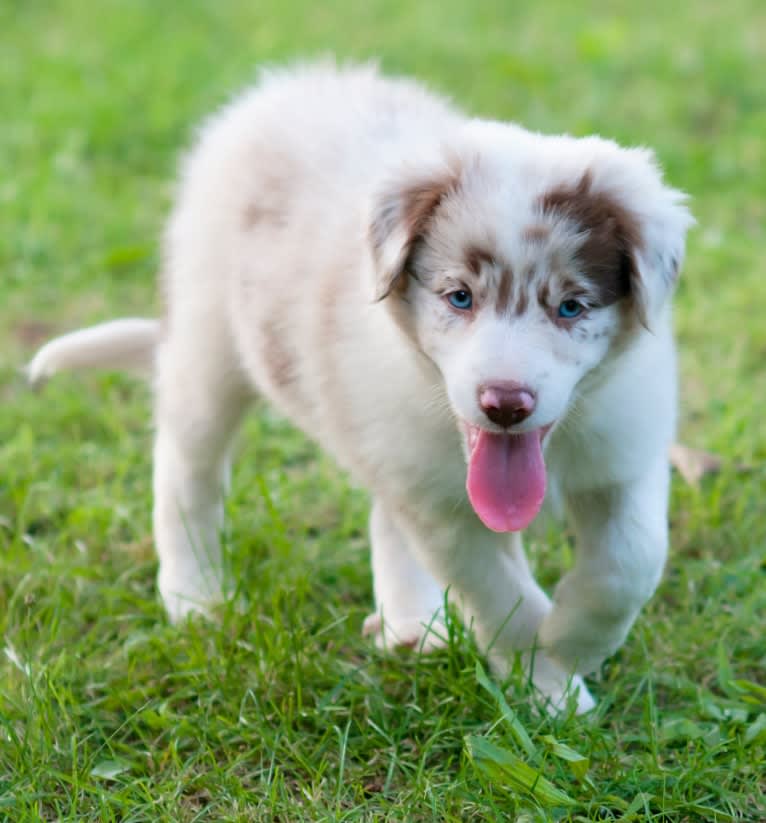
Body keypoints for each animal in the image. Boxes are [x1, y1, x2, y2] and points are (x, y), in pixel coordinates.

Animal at [27, 62, 696, 716]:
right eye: (460, 296)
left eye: (571, 306)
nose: (505, 404)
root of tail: (287, 84)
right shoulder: (441, 502)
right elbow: (501, 594)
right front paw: (549, 679)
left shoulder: (624, 452)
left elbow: (631, 562)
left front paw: (576, 641)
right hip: (207, 344)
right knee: (186, 474)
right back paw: (195, 596)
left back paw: (410, 622)